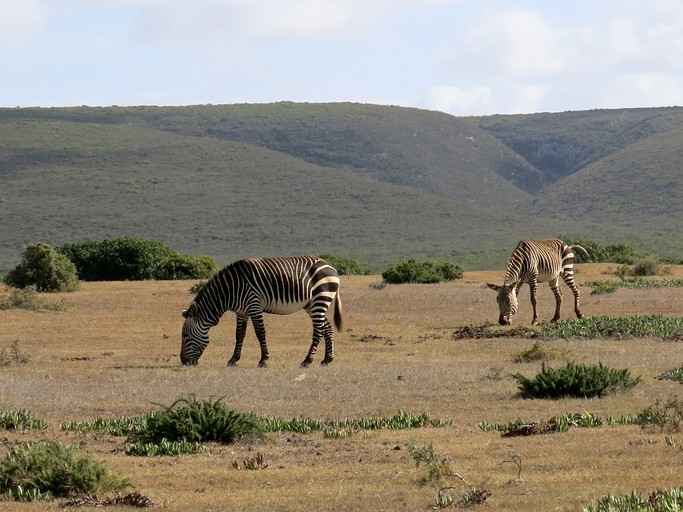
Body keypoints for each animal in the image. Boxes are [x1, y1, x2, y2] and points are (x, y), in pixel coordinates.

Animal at [180, 256, 342, 368]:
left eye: (185, 335)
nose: (183, 361)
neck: (230, 290)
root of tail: (330, 266)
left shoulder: (254, 305)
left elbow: (260, 332)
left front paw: (263, 360)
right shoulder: (242, 311)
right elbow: (239, 334)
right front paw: (233, 359)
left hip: (320, 298)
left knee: (318, 330)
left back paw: (307, 360)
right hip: (312, 304)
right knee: (327, 327)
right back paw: (327, 359)